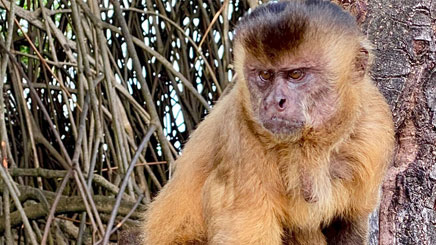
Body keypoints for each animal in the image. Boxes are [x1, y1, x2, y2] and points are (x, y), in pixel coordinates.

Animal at [139, 0, 396, 244]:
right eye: (265, 75)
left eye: (296, 74)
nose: (275, 100)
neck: (312, 147)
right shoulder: (240, 132)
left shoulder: (374, 131)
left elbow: (350, 221)